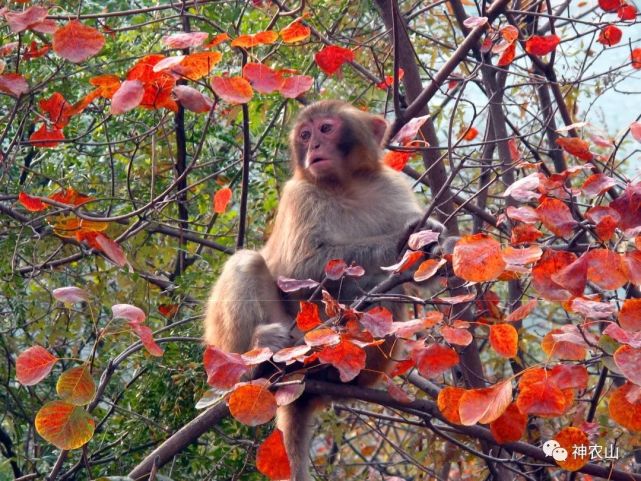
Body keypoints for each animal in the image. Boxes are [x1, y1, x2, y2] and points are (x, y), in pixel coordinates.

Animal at [202, 99, 448, 478]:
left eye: (326, 129)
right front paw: (405, 240)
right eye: (305, 135)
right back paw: (255, 363)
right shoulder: (299, 194)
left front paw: (432, 247)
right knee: (247, 262)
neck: (345, 184)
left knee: (387, 304)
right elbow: (300, 268)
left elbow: (424, 276)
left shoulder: (391, 187)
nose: (314, 146)